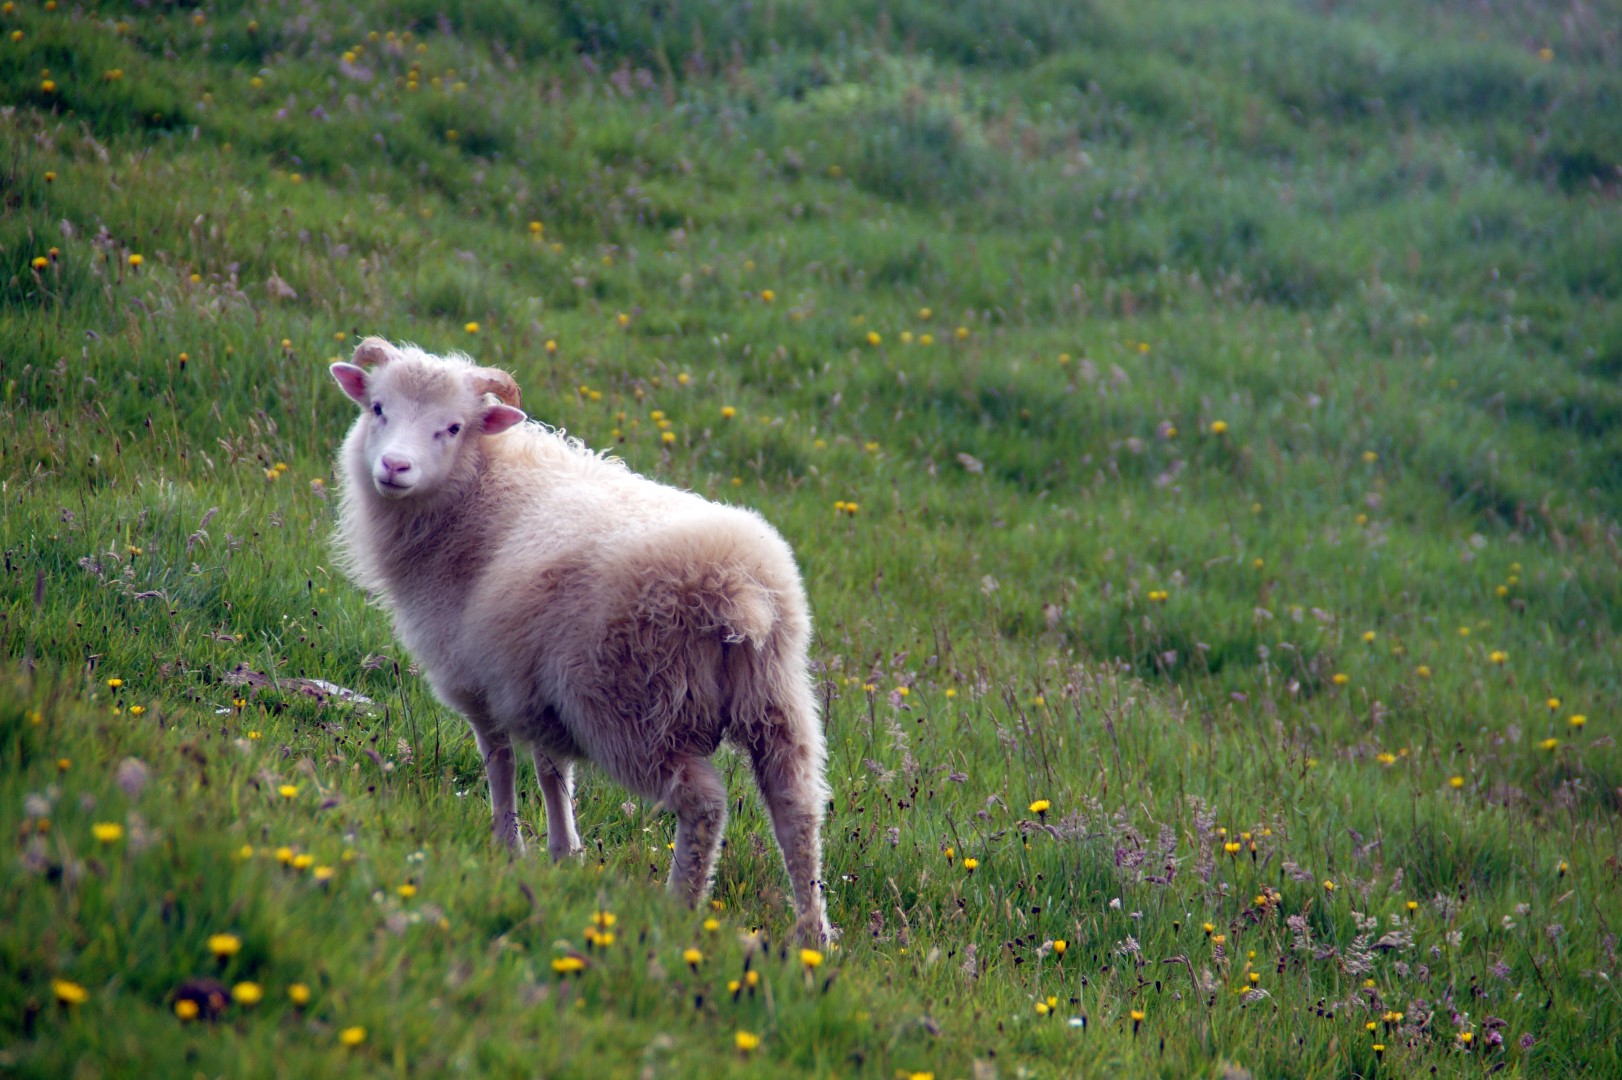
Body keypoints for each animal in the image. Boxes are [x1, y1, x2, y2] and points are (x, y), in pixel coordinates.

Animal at [329, 337, 836, 940]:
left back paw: (680, 906)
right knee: (797, 811)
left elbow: (500, 761)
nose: (394, 466)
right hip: (776, 699)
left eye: (452, 427)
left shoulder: (478, 681)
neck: (478, 488)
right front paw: (562, 854)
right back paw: (813, 934)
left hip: (629, 709)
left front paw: (508, 847)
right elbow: (553, 773)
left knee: (705, 804)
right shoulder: (537, 693)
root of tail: (735, 590)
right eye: (377, 407)